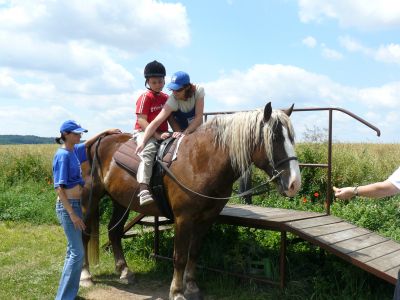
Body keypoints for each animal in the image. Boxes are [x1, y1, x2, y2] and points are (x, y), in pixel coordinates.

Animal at [80, 102, 300, 298]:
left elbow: (193, 252)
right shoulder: (183, 219)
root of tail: (96, 142)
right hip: (89, 200)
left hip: (120, 202)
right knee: (85, 234)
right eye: (274, 138)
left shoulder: (206, 218)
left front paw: (192, 286)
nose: (294, 183)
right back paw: (85, 276)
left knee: (114, 232)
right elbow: (179, 257)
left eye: (291, 137)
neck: (200, 161)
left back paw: (125, 271)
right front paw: (177, 291)